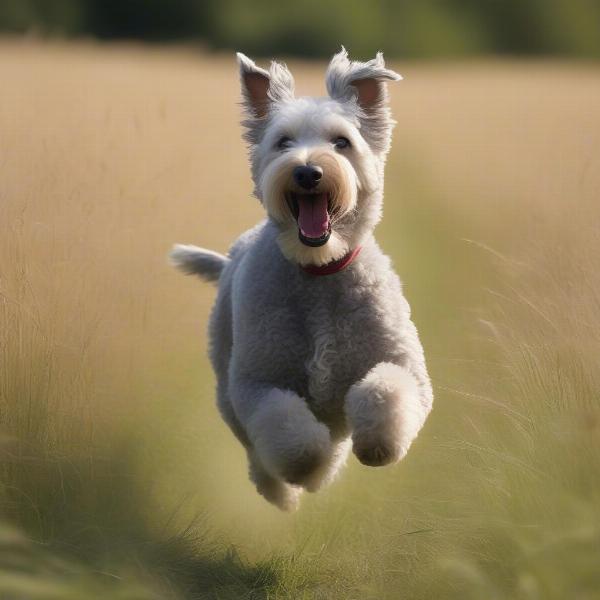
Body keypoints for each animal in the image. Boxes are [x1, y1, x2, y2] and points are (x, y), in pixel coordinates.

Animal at [171, 48, 434, 510]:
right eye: (283, 142)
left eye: (342, 142)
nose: (308, 172)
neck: (318, 272)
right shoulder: (257, 384)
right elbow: (295, 439)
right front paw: (309, 472)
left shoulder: (407, 370)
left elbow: (386, 391)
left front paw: (377, 446)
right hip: (227, 390)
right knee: (258, 453)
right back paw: (283, 494)